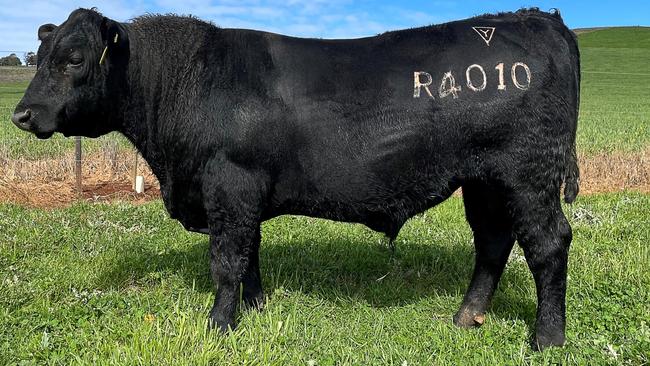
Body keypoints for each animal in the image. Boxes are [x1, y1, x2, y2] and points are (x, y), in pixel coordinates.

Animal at [11, 7, 576, 348]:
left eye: (75, 59)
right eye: (39, 58)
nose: (21, 114)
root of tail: (538, 18)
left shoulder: (231, 186)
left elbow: (226, 260)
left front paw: (219, 326)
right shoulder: (243, 196)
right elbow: (250, 255)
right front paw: (256, 308)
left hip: (527, 174)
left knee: (548, 243)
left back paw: (546, 337)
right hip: (484, 180)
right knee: (493, 241)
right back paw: (466, 317)